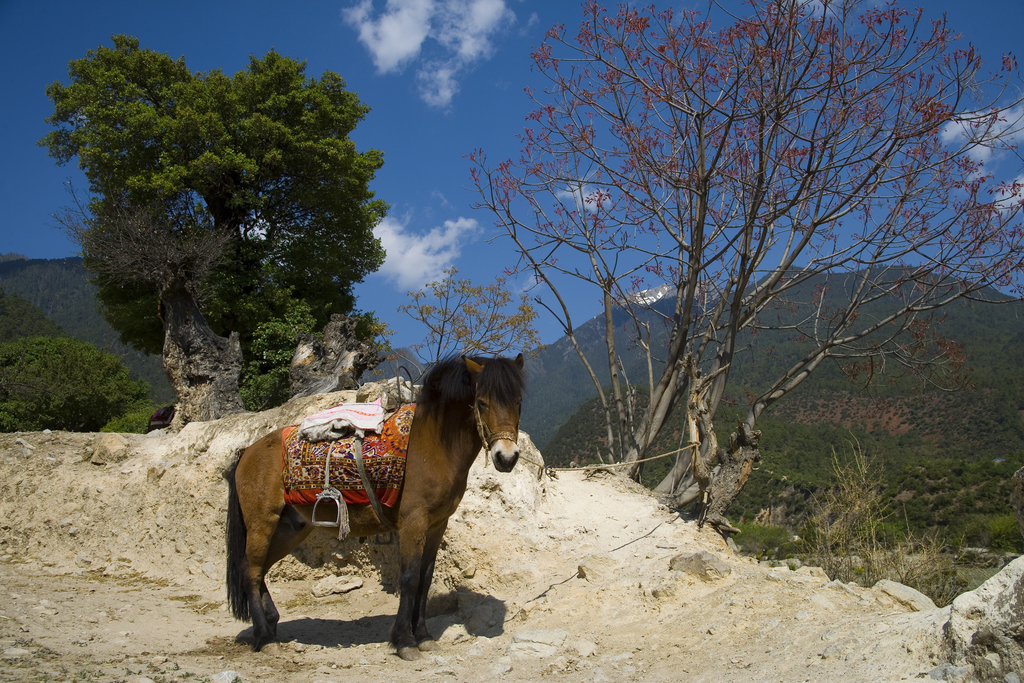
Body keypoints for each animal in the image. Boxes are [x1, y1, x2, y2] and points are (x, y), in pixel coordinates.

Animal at [227, 356, 524, 659]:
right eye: (482, 403)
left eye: (519, 401)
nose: (506, 457)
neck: (434, 445)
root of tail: (247, 452)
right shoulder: (413, 522)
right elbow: (409, 578)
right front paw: (404, 640)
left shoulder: (437, 525)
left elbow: (425, 579)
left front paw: (423, 635)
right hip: (262, 524)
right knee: (250, 572)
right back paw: (265, 638)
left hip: (290, 529)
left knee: (257, 569)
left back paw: (271, 624)